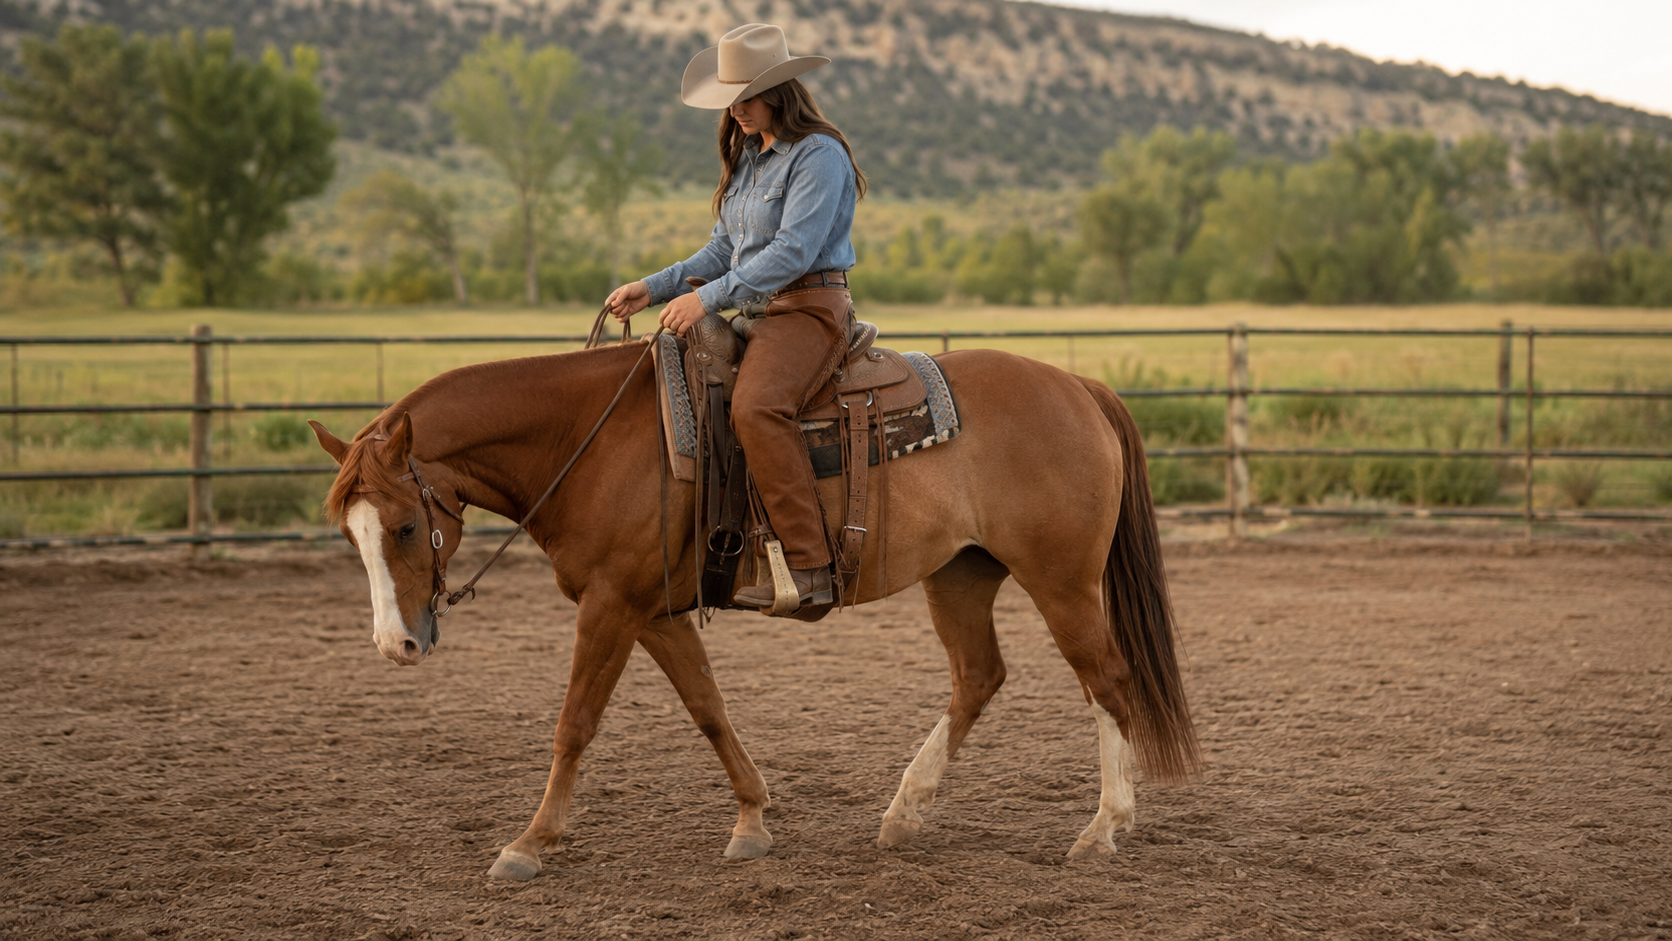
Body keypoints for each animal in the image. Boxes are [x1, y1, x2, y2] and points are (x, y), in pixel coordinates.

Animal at [308, 340, 1200, 881]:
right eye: (349, 532)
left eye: (404, 524)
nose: (395, 644)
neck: (589, 442)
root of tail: (1078, 385)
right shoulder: (653, 611)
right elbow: (708, 707)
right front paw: (752, 819)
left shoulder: (609, 605)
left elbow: (575, 723)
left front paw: (530, 842)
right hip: (961, 575)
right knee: (978, 676)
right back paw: (904, 811)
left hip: (1062, 581)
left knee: (1108, 681)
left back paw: (1103, 827)